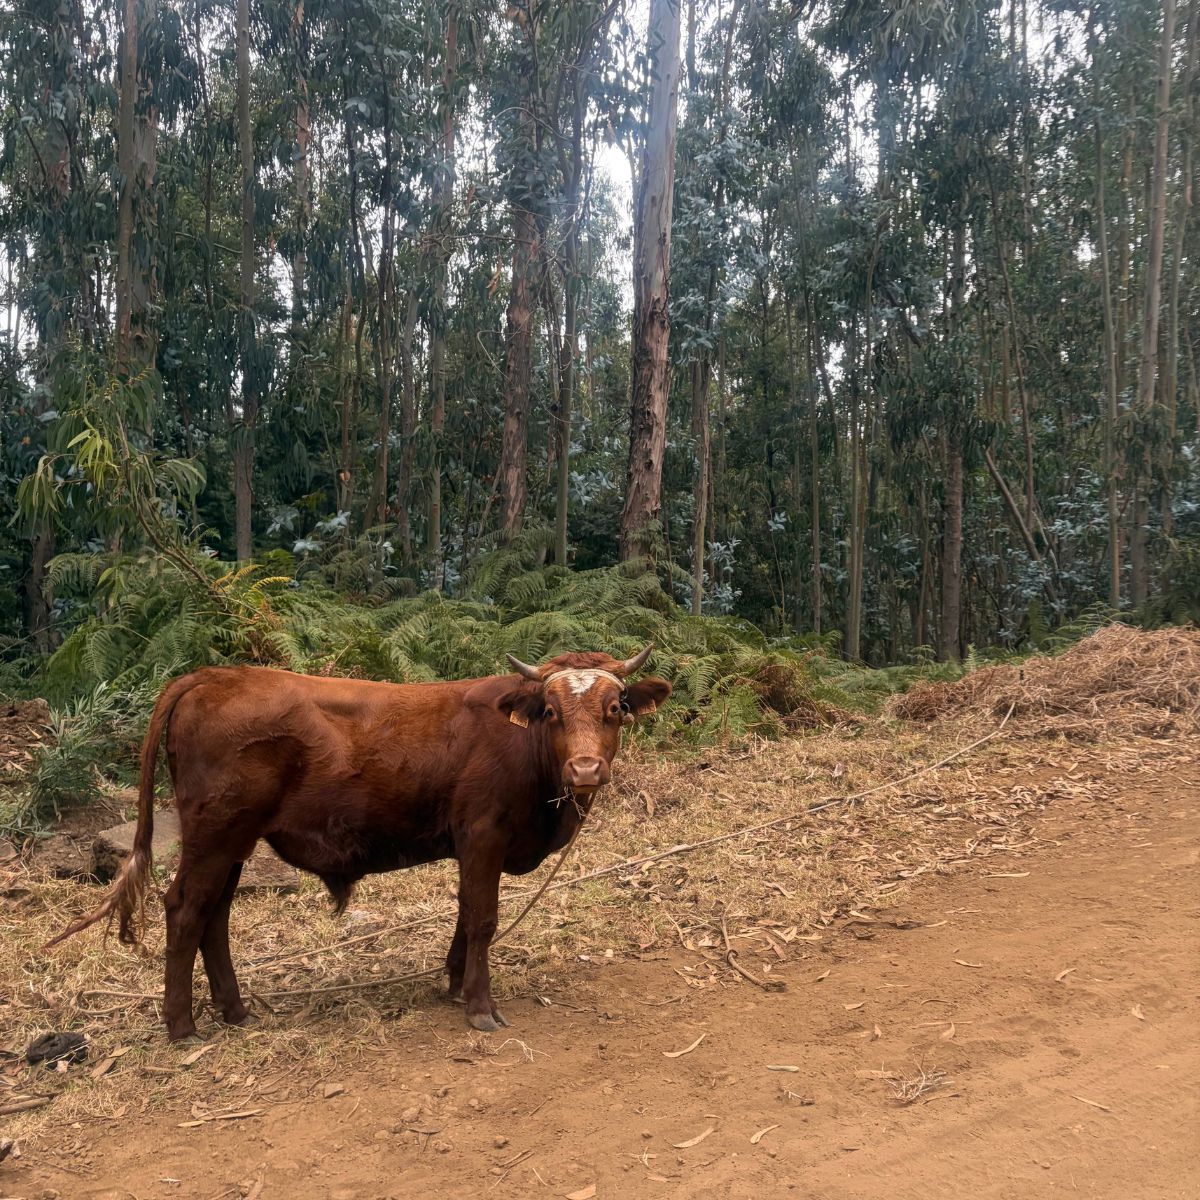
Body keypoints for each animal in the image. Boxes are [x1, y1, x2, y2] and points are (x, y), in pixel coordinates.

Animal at [49, 648, 671, 1040]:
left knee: (214, 915)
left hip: (233, 843)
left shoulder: (471, 845)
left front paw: (452, 984)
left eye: (615, 709)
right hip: (213, 835)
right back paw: (182, 1026)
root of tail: (215, 675)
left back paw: (235, 1010)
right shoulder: (483, 835)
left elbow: (465, 912)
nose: (585, 769)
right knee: (185, 910)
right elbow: (484, 917)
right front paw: (479, 1006)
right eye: (551, 711)